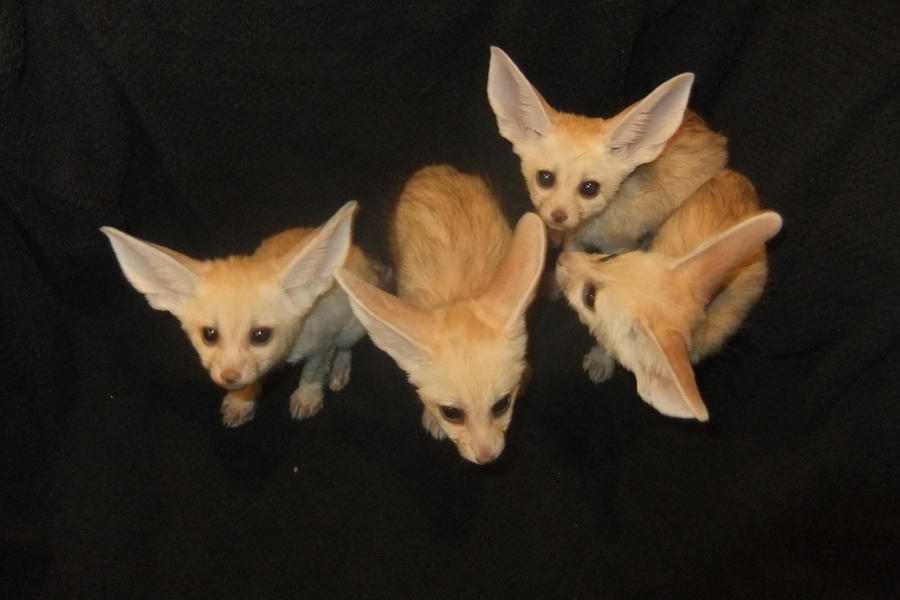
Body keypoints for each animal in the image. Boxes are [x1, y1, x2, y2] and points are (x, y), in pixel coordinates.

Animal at [101, 201, 382, 427]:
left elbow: (313, 370)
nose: (228, 378)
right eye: (209, 335)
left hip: (351, 329)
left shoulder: (322, 341)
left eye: (260, 335)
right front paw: (242, 400)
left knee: (345, 347)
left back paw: (339, 369)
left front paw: (308, 395)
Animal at [334, 165, 546, 464]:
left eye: (502, 404)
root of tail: (436, 170)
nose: (486, 458)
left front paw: (525, 373)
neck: (458, 293)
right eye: (451, 413)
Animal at [555, 170, 782, 421]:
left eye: (590, 297)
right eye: (609, 258)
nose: (561, 258)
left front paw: (603, 357)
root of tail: (739, 178)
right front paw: (600, 359)